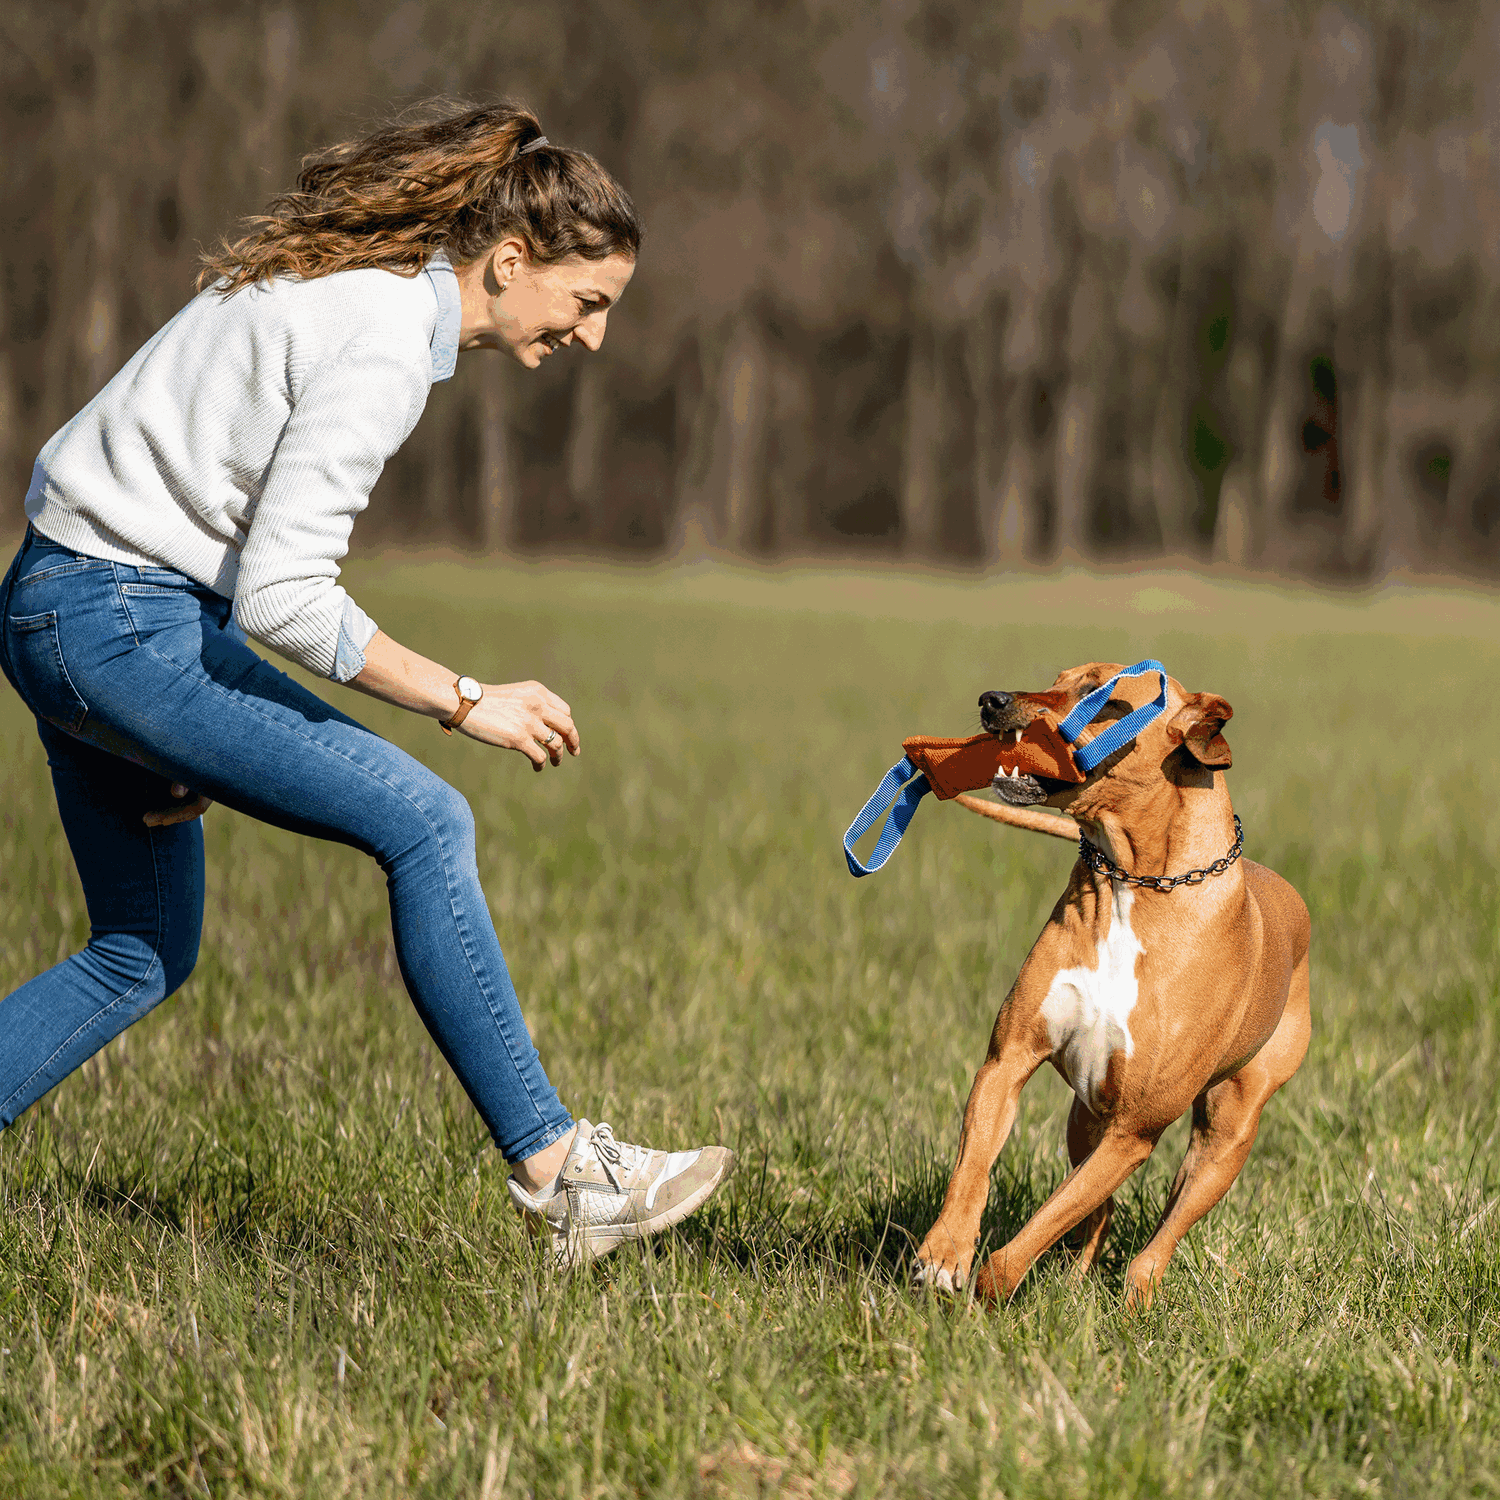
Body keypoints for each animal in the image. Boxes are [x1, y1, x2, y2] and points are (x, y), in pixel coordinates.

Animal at [906, 663, 1308, 1308]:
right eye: (1058, 677)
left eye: (1109, 701)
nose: (992, 700)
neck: (1136, 882)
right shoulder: (1007, 1062)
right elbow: (975, 1173)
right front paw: (943, 1257)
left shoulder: (1134, 1130)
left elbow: (1042, 1224)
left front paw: (990, 1287)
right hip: (1085, 1116)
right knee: (1098, 1212)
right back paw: (1075, 1284)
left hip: (1226, 1136)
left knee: (1160, 1234)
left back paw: (1136, 1299)